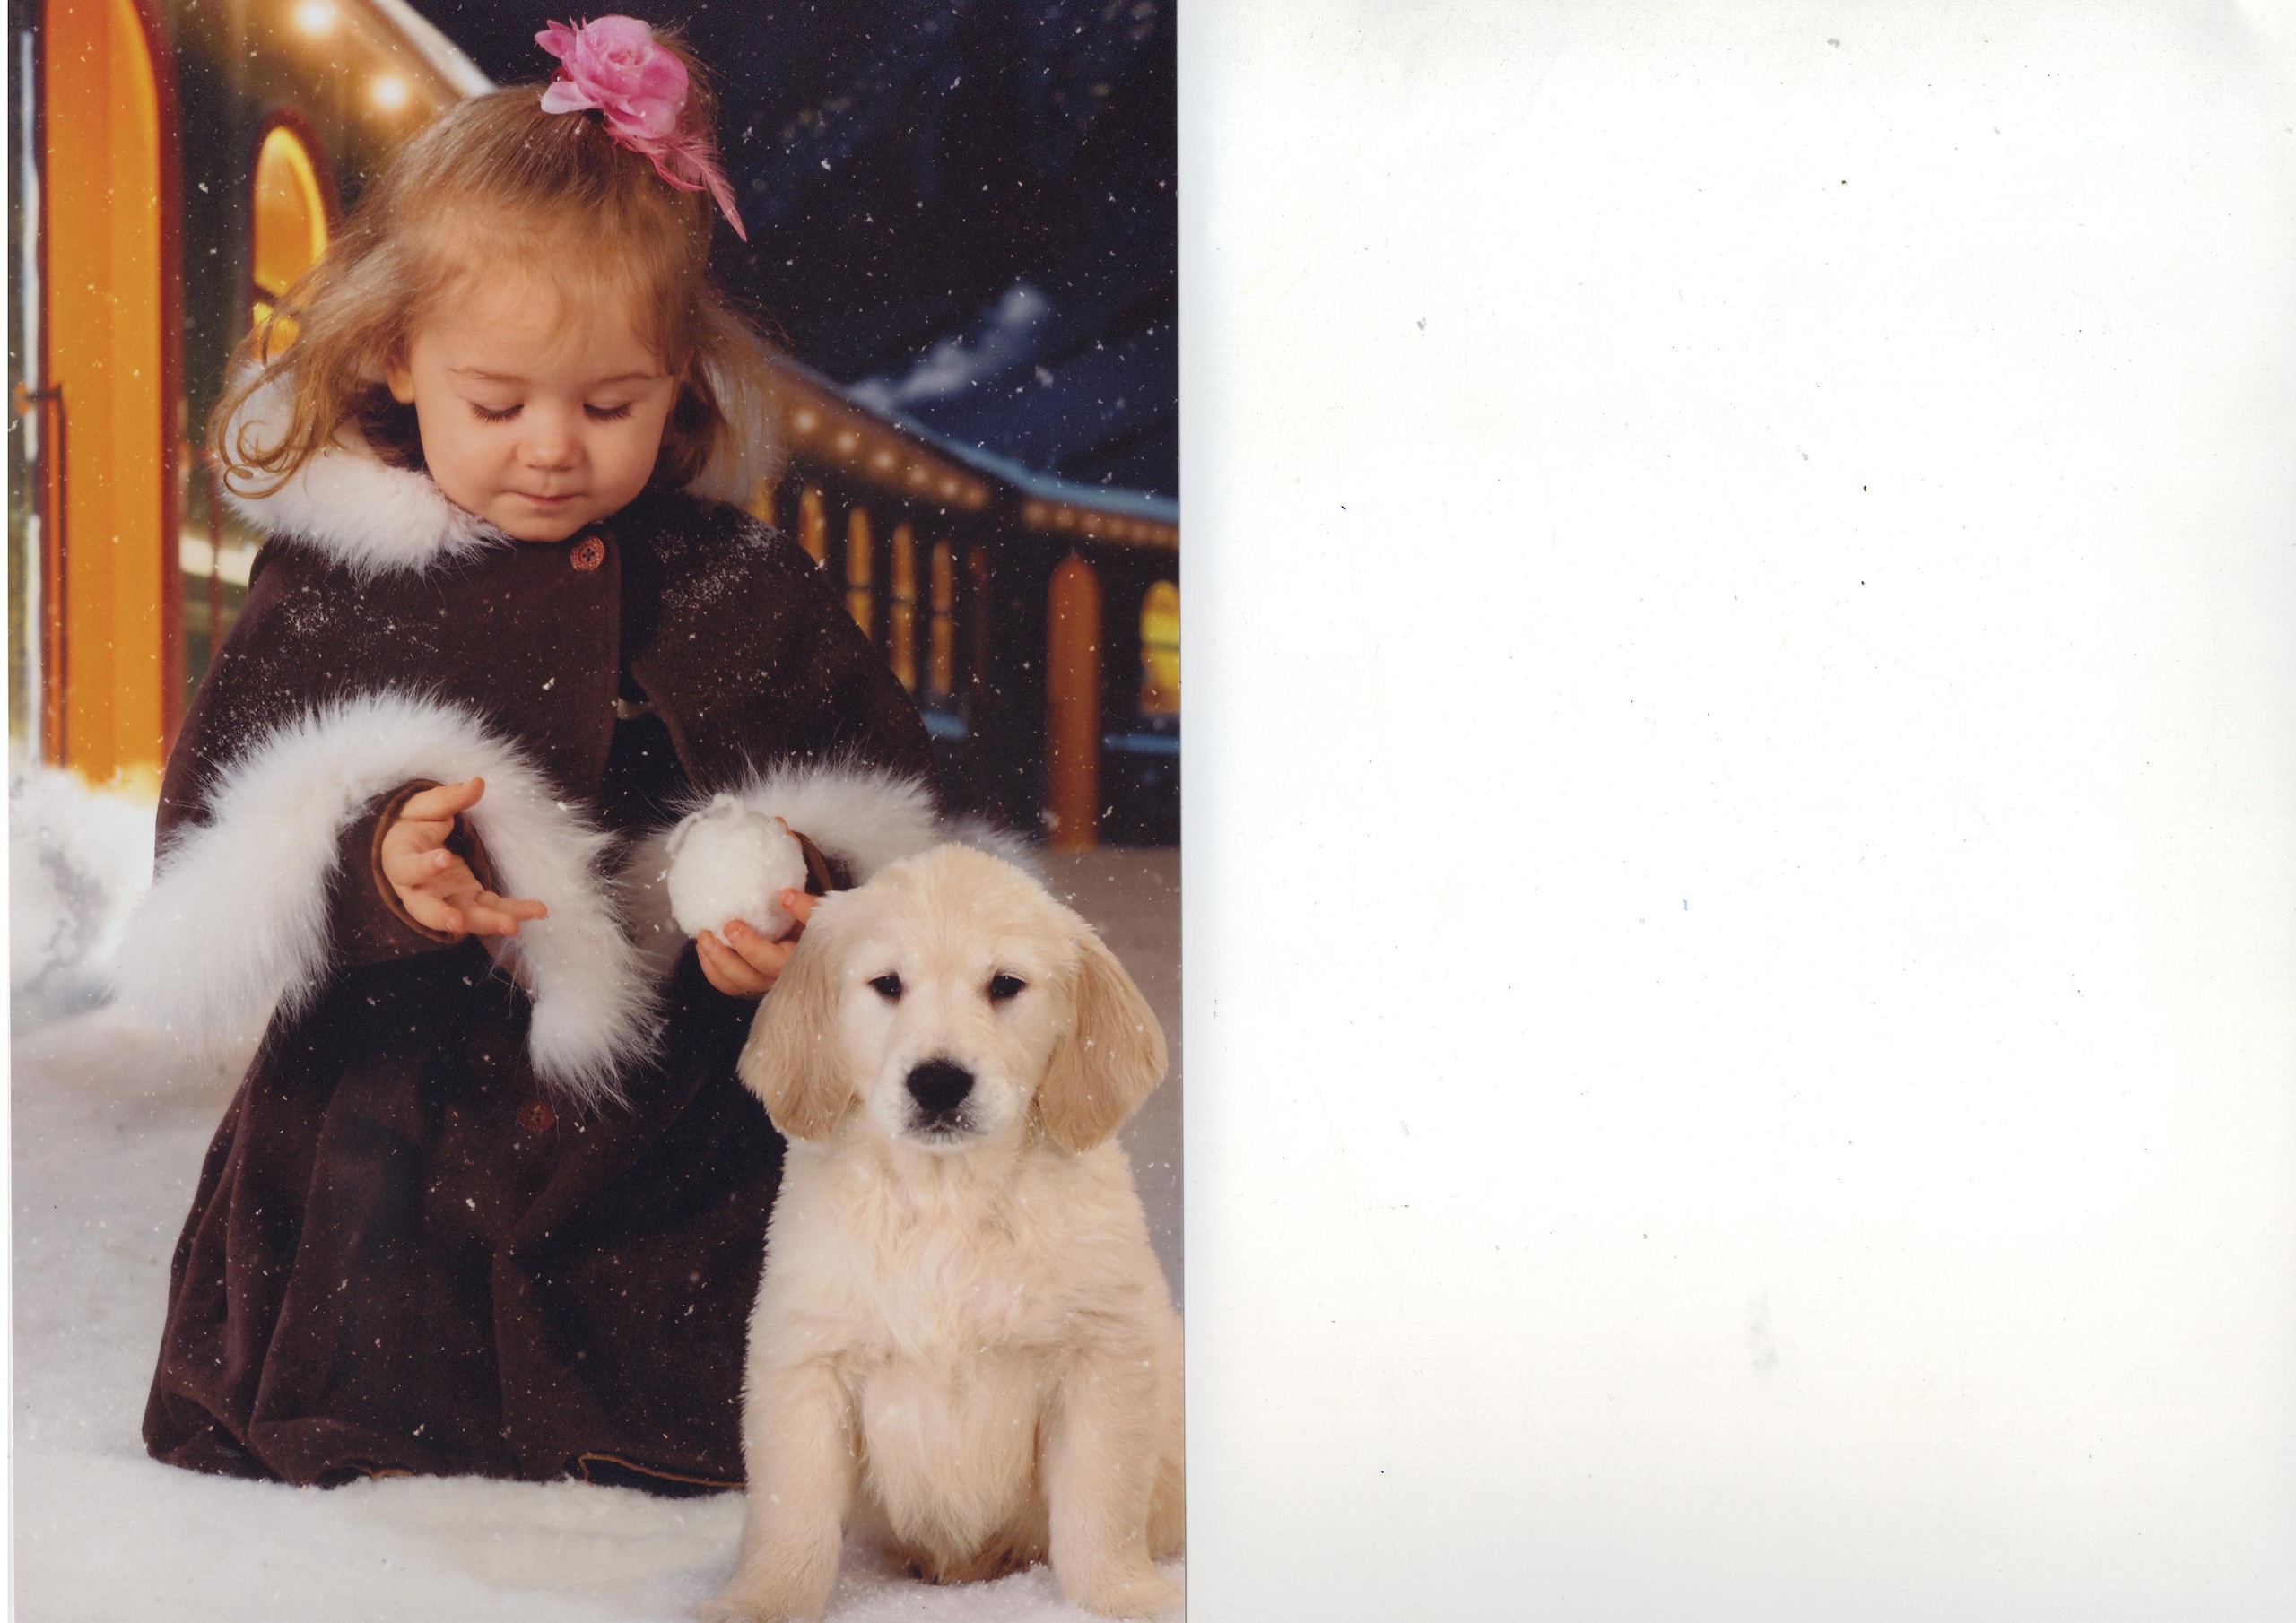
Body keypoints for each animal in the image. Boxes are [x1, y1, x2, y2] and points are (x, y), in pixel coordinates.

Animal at [702, 844, 1184, 1622]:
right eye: (888, 984)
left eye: (1006, 985)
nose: (938, 1082)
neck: (947, 1196)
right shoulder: (805, 1358)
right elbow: (789, 1514)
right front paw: (758, 1601)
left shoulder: (1101, 1355)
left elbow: (1100, 1506)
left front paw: (1125, 1599)